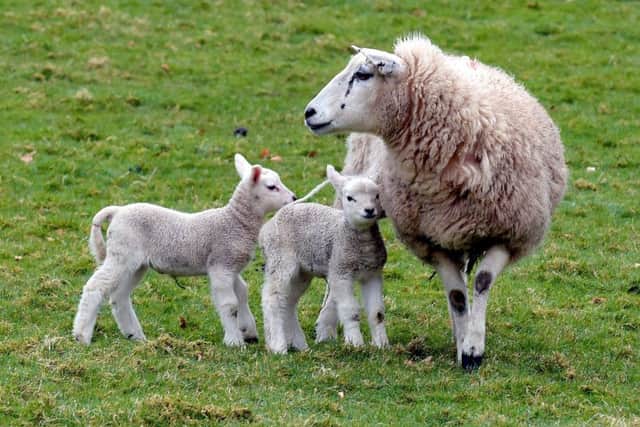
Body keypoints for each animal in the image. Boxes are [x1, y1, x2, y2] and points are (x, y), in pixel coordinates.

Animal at [72, 154, 296, 346]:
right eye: (272, 187)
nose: (294, 198)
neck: (235, 222)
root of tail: (117, 211)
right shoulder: (220, 265)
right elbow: (229, 303)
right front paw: (234, 341)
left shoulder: (231, 266)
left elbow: (242, 293)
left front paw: (248, 331)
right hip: (122, 253)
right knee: (95, 286)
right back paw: (82, 335)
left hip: (135, 264)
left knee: (119, 296)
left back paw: (135, 335)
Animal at [259, 165, 388, 354]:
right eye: (349, 198)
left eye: (377, 195)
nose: (369, 210)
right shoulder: (340, 271)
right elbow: (350, 311)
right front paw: (356, 345)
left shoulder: (373, 273)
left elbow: (377, 313)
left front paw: (382, 346)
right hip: (280, 258)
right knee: (272, 299)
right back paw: (278, 346)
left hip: (302, 272)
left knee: (288, 302)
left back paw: (299, 345)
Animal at [304, 35, 568, 369]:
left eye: (363, 75)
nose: (309, 113)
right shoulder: (430, 239)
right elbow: (456, 295)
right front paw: (466, 349)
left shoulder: (509, 233)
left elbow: (480, 283)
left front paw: (471, 348)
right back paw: (325, 326)